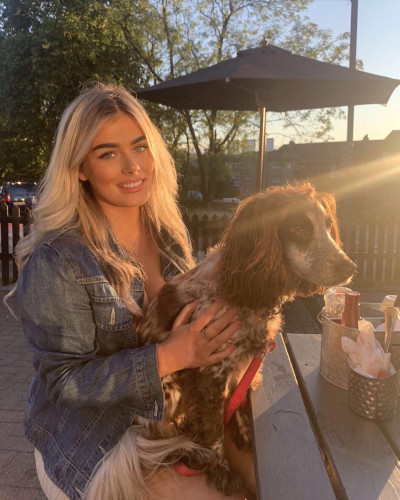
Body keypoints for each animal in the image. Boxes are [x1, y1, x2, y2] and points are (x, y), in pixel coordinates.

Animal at [85, 183, 356, 500]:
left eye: (327, 226)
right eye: (299, 227)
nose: (349, 267)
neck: (242, 291)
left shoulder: (239, 367)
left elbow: (235, 405)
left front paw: (244, 433)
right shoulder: (210, 372)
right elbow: (214, 427)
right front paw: (221, 468)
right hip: (166, 393)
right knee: (160, 437)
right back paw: (189, 451)